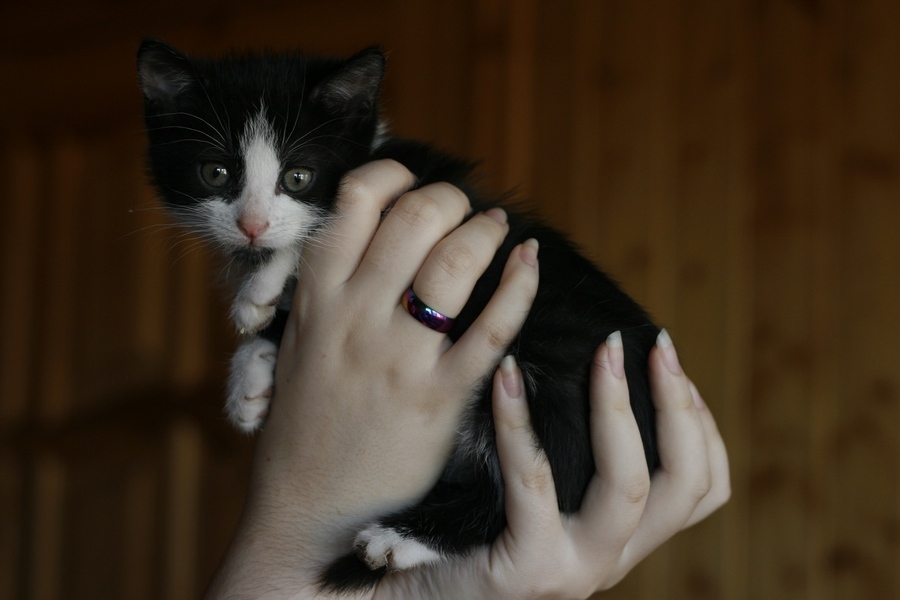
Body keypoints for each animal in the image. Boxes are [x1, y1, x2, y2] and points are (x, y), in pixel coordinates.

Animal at [139, 38, 660, 592]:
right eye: (214, 172)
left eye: (298, 177)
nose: (252, 225)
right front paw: (249, 379)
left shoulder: (432, 195)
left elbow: (319, 229)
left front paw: (259, 287)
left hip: (557, 361)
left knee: (544, 488)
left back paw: (400, 538)